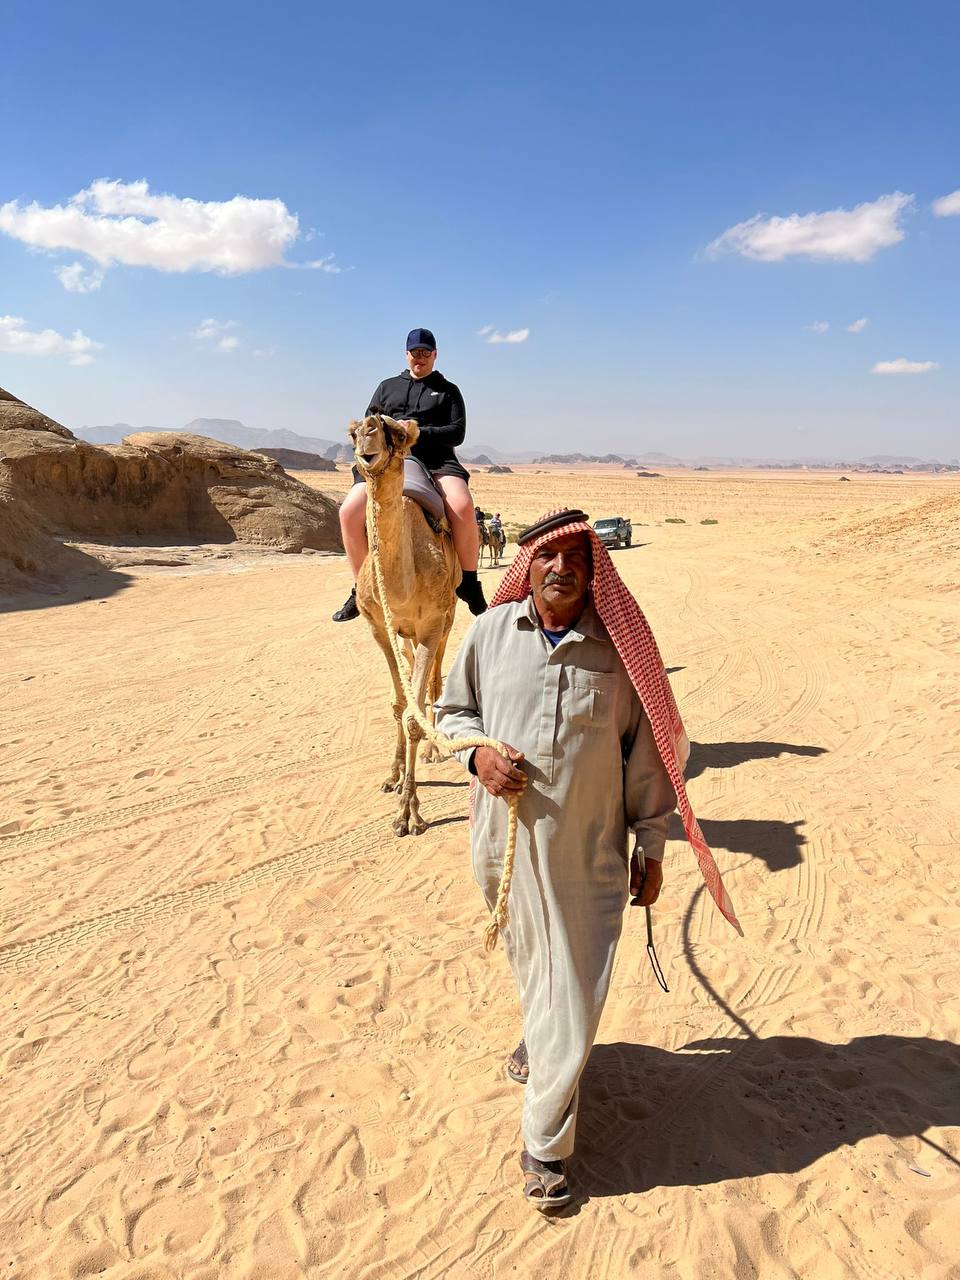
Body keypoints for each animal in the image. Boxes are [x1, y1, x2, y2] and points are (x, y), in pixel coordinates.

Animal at [350, 412, 463, 839]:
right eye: (352, 432)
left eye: (396, 433)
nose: (368, 430)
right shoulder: (380, 627)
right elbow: (399, 705)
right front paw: (393, 775)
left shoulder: (432, 624)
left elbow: (415, 712)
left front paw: (409, 814)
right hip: (405, 635)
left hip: (447, 618)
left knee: (433, 684)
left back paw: (433, 750)